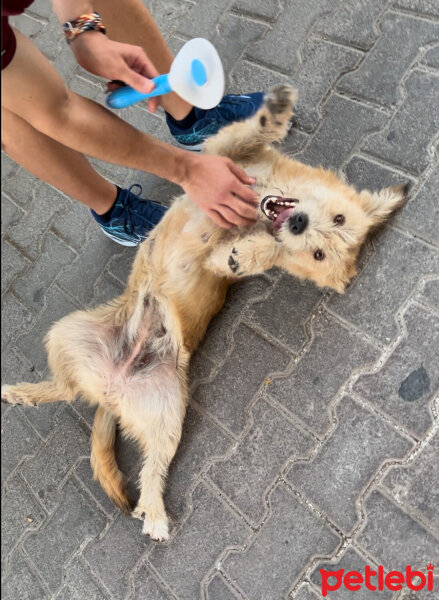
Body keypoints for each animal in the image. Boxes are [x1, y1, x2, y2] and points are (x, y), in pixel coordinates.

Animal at [0, 85, 410, 540]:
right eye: (336, 220)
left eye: (318, 254)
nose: (298, 224)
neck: (263, 199)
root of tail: (110, 388)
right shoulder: (220, 158)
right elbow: (247, 136)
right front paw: (274, 115)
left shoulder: (221, 251)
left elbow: (255, 254)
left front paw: (250, 252)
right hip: (66, 331)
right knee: (67, 388)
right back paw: (24, 393)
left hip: (167, 413)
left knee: (137, 456)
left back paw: (152, 511)